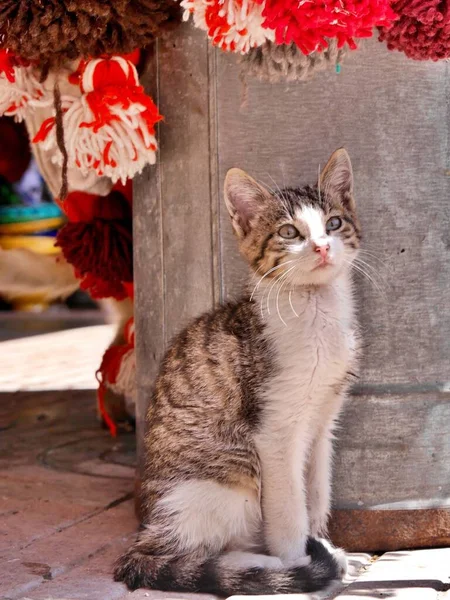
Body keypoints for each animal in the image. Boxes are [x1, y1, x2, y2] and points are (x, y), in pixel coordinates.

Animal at [114, 149, 360, 596]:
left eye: (333, 223)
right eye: (289, 232)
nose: (320, 247)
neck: (317, 312)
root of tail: (147, 531)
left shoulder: (323, 420)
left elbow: (316, 492)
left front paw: (322, 538)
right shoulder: (274, 431)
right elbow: (289, 510)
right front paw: (300, 563)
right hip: (232, 475)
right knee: (186, 556)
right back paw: (266, 569)